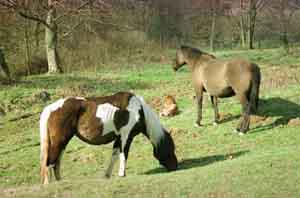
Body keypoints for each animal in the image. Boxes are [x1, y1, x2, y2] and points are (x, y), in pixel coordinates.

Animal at [38, 91, 177, 184]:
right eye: (170, 149)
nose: (175, 167)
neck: (139, 110)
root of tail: (49, 109)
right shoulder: (126, 136)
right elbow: (124, 154)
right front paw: (122, 174)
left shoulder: (118, 137)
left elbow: (114, 155)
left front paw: (107, 175)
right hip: (59, 141)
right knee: (50, 161)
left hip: (63, 141)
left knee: (56, 161)